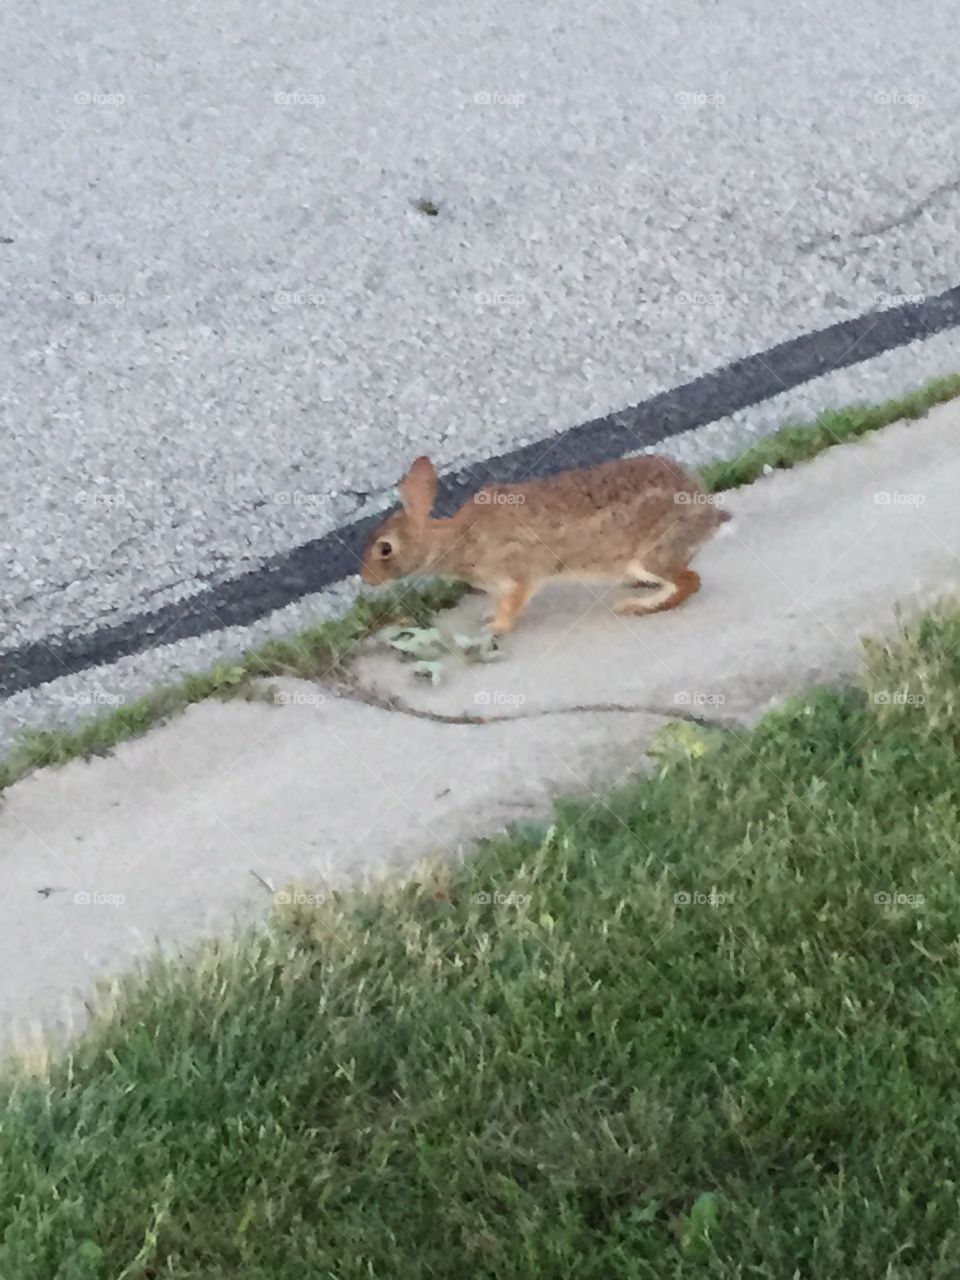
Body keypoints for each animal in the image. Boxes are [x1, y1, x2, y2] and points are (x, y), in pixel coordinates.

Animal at [360, 453, 731, 634]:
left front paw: (496, 627)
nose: (366, 579)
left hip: (649, 554)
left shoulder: (519, 574)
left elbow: (513, 604)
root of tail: (708, 512)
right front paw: (487, 616)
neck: (457, 538)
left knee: (689, 581)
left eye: (385, 548)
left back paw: (638, 606)